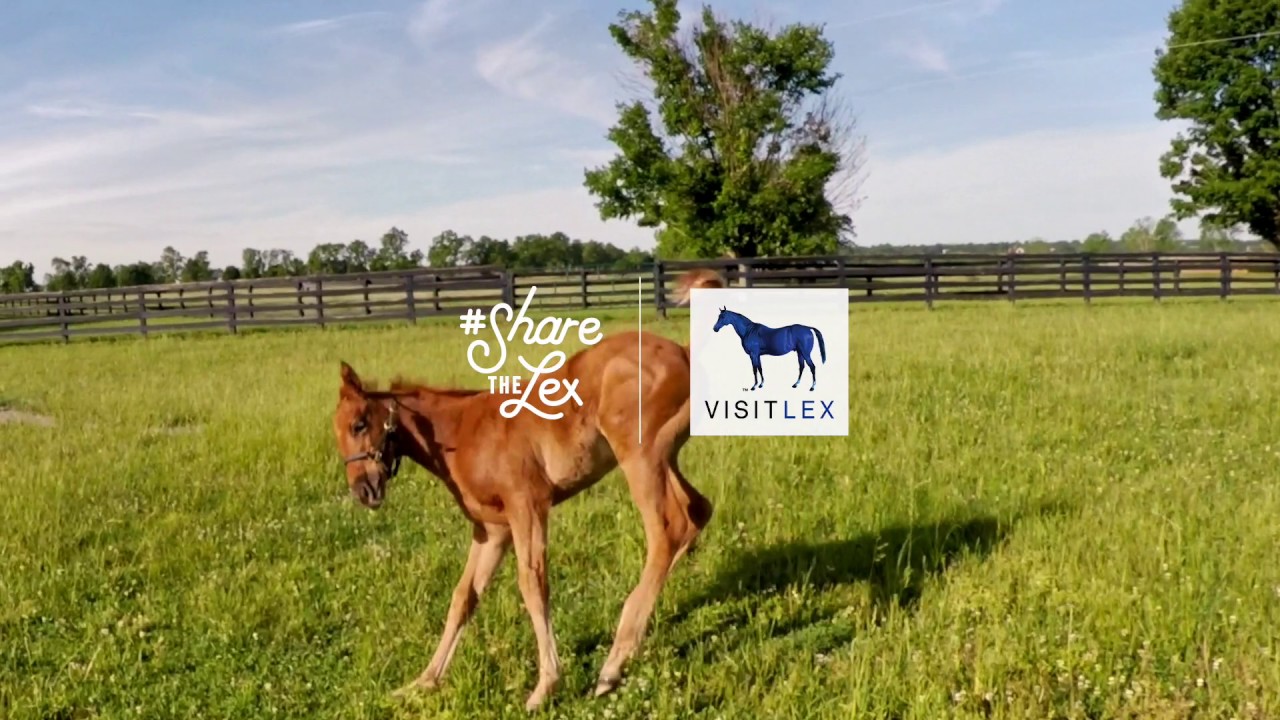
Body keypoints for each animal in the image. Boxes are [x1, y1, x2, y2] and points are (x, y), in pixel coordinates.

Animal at [330, 330, 713, 711]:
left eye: (359, 424)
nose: (364, 491)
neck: (462, 432)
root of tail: (682, 352)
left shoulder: (526, 505)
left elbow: (533, 585)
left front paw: (546, 686)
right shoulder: (492, 530)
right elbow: (463, 597)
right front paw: (423, 682)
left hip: (641, 458)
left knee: (669, 530)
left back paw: (613, 664)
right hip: (664, 459)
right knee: (696, 513)